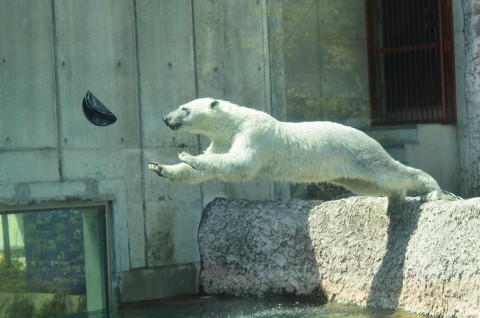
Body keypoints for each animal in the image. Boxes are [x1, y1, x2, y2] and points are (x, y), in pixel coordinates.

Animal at [149, 97, 454, 201]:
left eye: (184, 108)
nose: (165, 118)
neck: (234, 123)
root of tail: (367, 135)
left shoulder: (254, 133)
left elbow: (241, 163)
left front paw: (188, 155)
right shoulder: (222, 139)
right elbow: (210, 165)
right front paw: (159, 167)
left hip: (360, 153)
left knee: (391, 172)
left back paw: (432, 190)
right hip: (351, 173)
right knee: (373, 184)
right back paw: (396, 196)